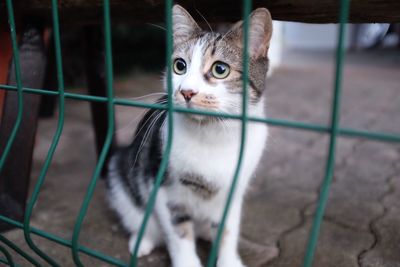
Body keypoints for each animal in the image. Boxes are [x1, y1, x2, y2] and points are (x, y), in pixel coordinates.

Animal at [107, 4, 272, 267]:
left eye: (220, 69)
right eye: (180, 66)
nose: (186, 91)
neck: (213, 135)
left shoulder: (234, 190)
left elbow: (227, 229)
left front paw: (228, 259)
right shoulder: (164, 187)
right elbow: (178, 232)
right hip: (120, 171)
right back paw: (142, 240)